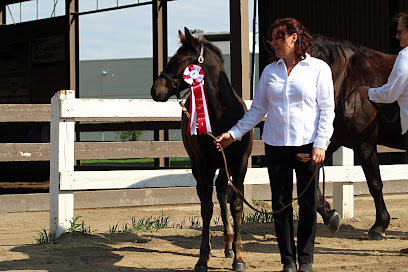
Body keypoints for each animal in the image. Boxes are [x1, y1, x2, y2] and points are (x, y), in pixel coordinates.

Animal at [151, 28, 252, 272]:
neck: (222, 115)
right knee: (206, 193)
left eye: (178, 60)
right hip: (198, 165)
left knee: (222, 190)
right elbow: (206, 207)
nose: (155, 90)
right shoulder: (204, 164)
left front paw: (239, 257)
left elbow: (236, 205)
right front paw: (202, 258)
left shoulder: (239, 164)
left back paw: (229, 245)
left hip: (224, 166)